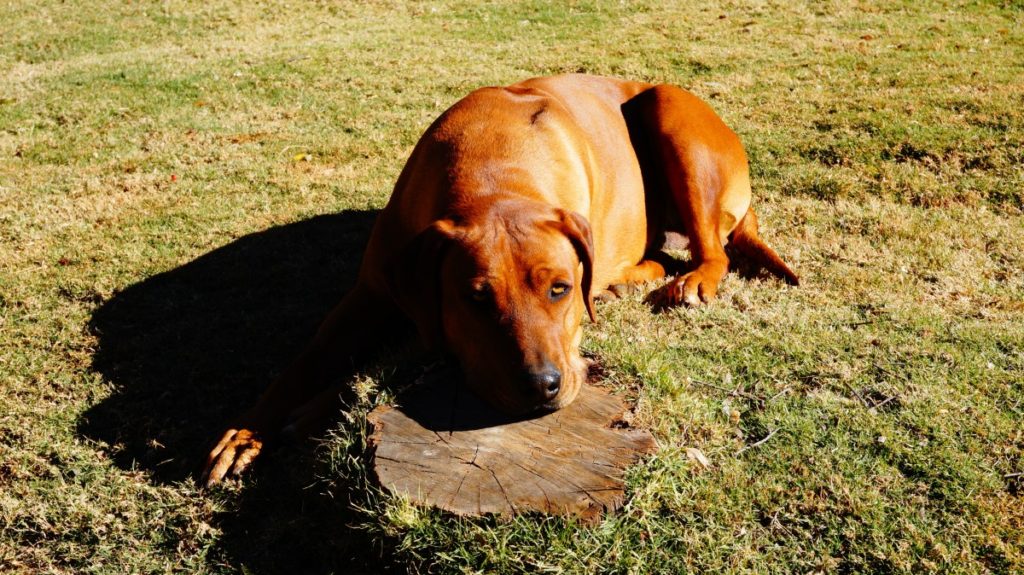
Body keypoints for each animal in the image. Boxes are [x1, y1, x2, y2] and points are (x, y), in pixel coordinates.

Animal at [201, 72, 790, 482]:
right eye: (476, 300)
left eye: (559, 290)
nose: (542, 386)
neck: (493, 166)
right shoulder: (375, 288)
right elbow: (308, 359)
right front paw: (249, 430)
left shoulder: (424, 319)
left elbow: (372, 365)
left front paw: (310, 413)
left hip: (670, 111)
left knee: (713, 252)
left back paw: (690, 281)